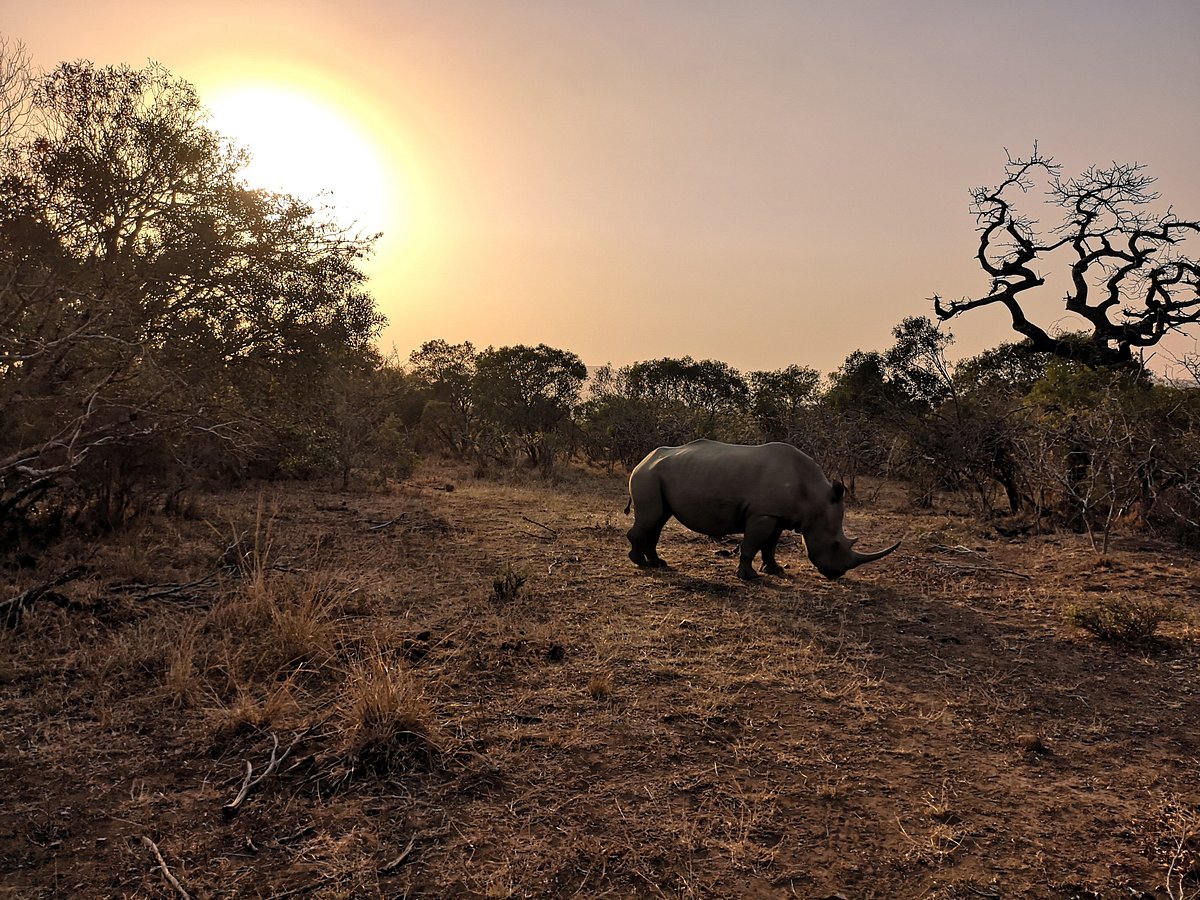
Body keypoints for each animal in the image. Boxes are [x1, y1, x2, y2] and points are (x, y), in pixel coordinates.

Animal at [624, 439, 899, 580]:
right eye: (835, 544)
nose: (837, 574)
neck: (814, 497)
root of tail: (643, 460)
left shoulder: (777, 515)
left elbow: (770, 545)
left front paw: (775, 570)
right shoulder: (763, 514)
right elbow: (752, 544)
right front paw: (750, 577)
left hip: (656, 475)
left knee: (658, 520)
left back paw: (658, 564)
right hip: (648, 476)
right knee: (651, 518)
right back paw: (641, 564)